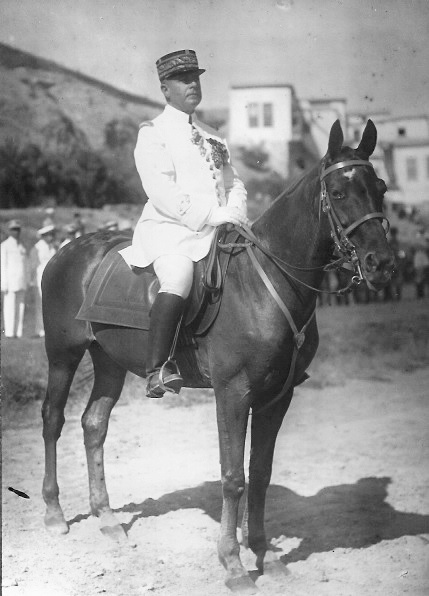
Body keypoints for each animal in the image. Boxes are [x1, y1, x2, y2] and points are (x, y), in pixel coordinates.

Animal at [41, 120, 392, 592]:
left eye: (381, 187)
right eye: (337, 192)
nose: (381, 263)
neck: (266, 283)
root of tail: (69, 250)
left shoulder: (277, 397)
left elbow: (260, 474)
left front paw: (263, 552)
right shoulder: (232, 393)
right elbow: (233, 477)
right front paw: (233, 564)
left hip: (108, 360)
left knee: (94, 423)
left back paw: (107, 518)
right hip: (62, 354)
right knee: (53, 419)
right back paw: (54, 512)